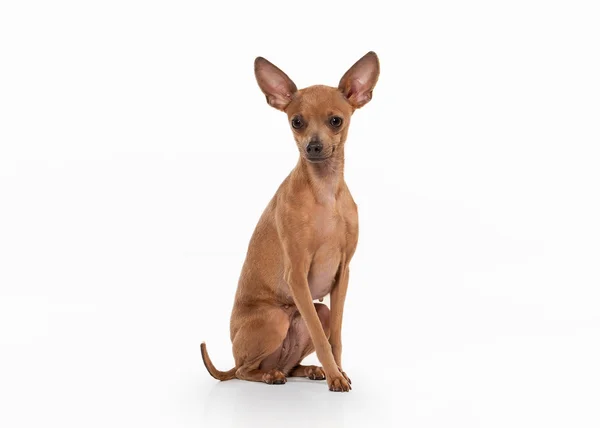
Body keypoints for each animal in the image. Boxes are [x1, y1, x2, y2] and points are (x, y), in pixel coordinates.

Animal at [202, 51, 380, 392]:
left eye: (336, 121)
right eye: (296, 121)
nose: (313, 146)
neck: (324, 193)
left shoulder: (342, 275)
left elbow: (335, 337)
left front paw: (338, 370)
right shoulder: (297, 274)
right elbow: (323, 340)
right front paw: (336, 376)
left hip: (319, 311)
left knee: (290, 360)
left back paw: (307, 369)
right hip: (276, 319)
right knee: (244, 370)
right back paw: (270, 376)